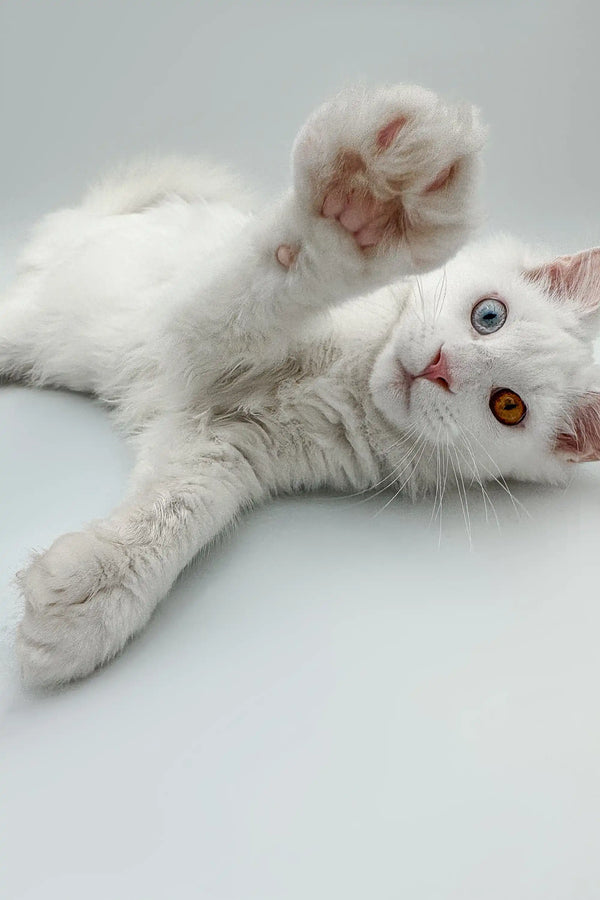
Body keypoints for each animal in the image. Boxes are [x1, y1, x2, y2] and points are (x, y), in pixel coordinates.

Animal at [2, 86, 596, 688]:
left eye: (508, 406)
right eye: (489, 315)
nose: (439, 367)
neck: (352, 381)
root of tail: (86, 218)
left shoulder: (220, 447)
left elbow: (174, 515)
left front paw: (91, 596)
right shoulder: (193, 334)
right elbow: (277, 274)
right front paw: (374, 202)